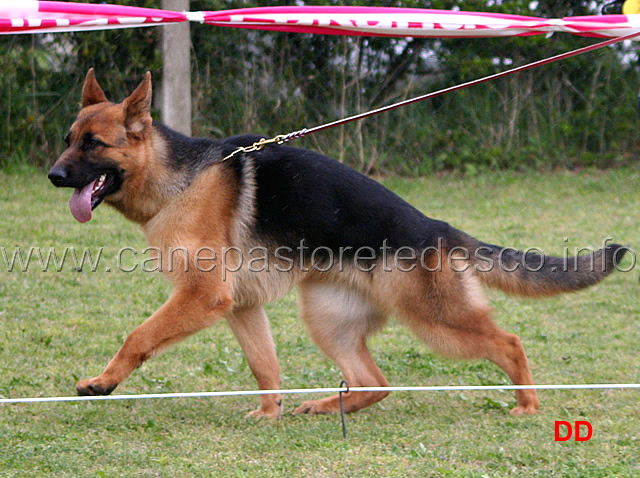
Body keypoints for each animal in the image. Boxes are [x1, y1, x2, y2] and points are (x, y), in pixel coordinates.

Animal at [48, 70, 624, 418]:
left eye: (93, 145)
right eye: (68, 139)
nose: (52, 175)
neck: (179, 179)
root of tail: (437, 228)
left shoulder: (201, 297)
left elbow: (138, 336)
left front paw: (103, 382)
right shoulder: (240, 306)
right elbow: (264, 367)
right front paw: (269, 414)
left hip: (435, 321)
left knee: (509, 343)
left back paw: (527, 403)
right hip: (327, 319)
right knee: (376, 382)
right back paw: (327, 407)